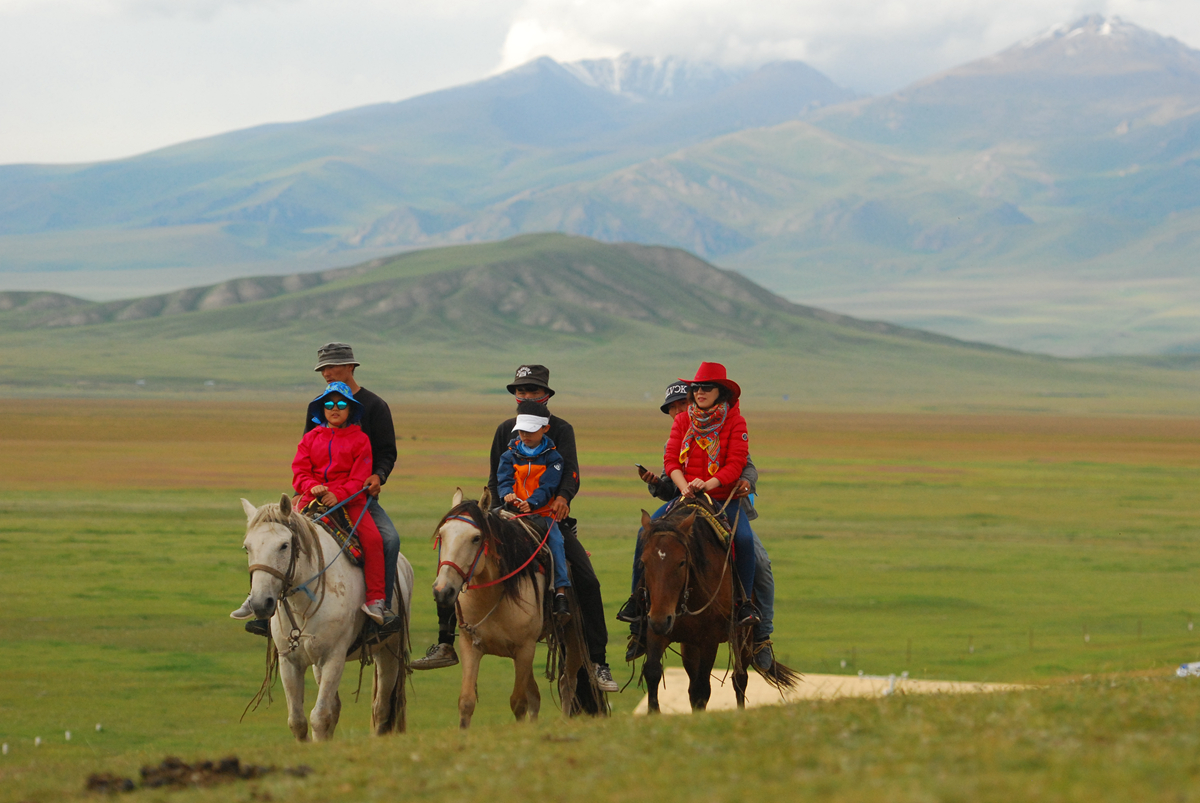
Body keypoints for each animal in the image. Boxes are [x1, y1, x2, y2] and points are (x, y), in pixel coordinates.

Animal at [238, 492, 417, 744]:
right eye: (247, 547)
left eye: (284, 545)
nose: (260, 603)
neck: (303, 603)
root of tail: (404, 565)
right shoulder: (289, 661)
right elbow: (298, 721)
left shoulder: (333, 657)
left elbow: (320, 716)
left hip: (389, 650)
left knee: (381, 707)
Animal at [436, 489, 595, 724]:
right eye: (442, 535)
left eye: (476, 538)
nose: (442, 591)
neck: (492, 596)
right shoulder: (470, 645)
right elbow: (466, 701)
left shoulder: (525, 649)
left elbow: (519, 702)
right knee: (537, 695)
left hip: (572, 636)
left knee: (567, 683)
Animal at [638, 501, 796, 715]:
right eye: (644, 562)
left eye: (681, 562)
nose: (661, 620)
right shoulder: (656, 628)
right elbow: (653, 672)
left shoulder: (709, 640)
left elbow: (702, 688)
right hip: (688, 643)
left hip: (743, 637)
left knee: (739, 679)